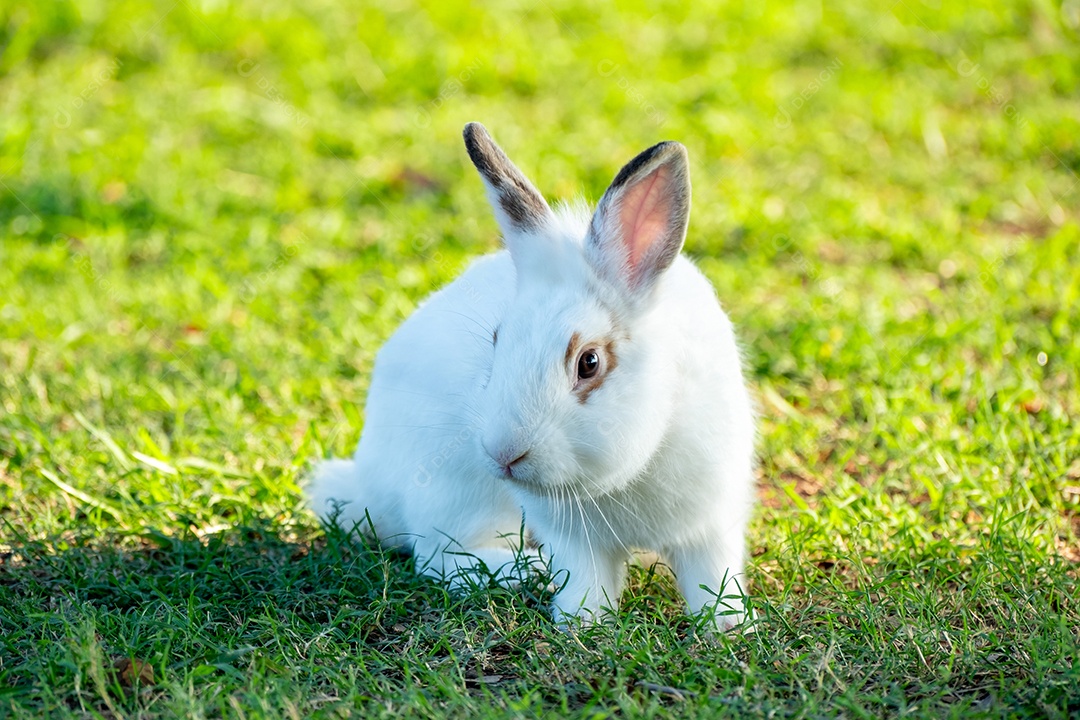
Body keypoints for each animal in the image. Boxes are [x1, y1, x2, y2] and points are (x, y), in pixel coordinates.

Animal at [308, 124, 756, 630]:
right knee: (440, 557)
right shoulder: (573, 539)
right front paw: (582, 623)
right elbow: (586, 580)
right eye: (497, 340)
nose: (504, 453)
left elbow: (711, 579)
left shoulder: (710, 525)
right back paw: (528, 572)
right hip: (454, 492)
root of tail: (366, 482)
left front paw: (729, 627)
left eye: (589, 362)